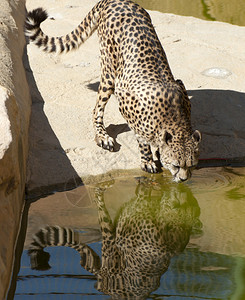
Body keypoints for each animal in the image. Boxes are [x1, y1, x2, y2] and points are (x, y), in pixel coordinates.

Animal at [24, 0, 201, 182]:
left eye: (191, 165)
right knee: (96, 109)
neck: (174, 117)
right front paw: (147, 160)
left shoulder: (180, 86)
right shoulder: (126, 101)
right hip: (109, 73)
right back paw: (103, 137)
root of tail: (114, 1)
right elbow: (141, 138)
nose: (184, 179)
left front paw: (157, 152)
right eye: (176, 165)